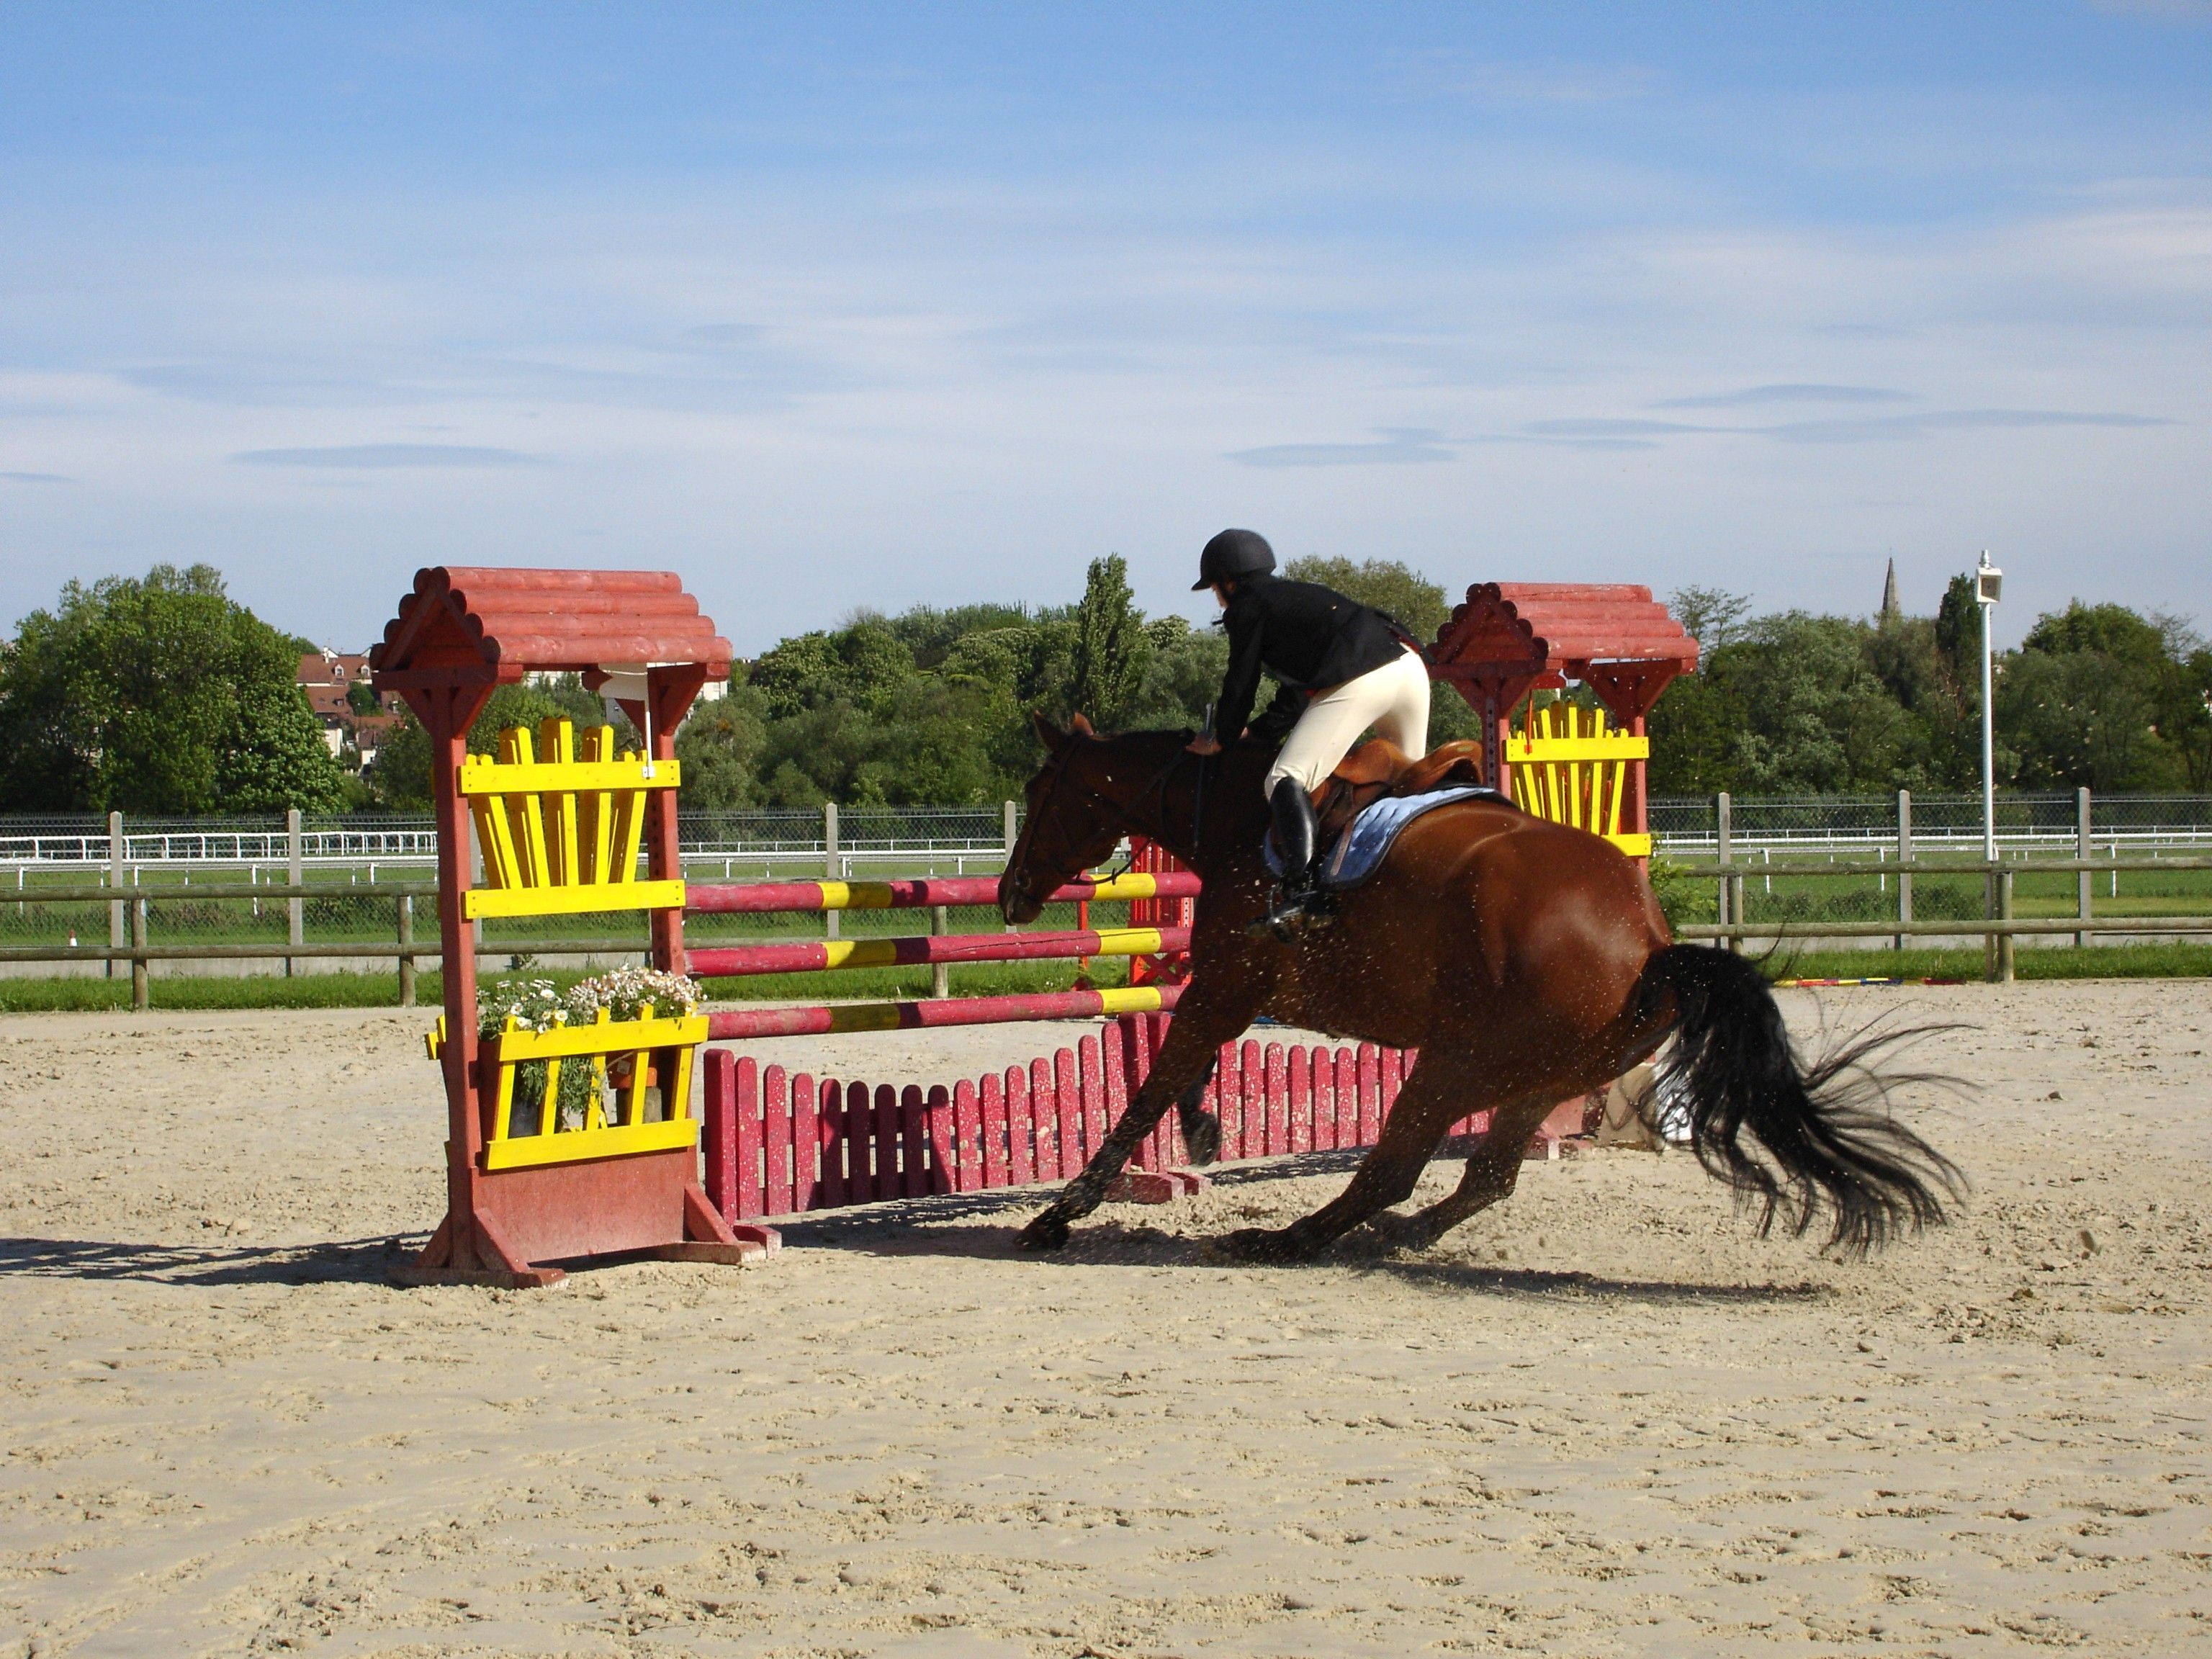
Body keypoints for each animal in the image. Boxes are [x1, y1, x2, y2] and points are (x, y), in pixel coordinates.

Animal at [998, 715, 1960, 1263]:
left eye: (1040, 790)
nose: (1009, 895)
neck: (1240, 811)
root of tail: (1651, 946)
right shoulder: (1227, 993)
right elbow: (1177, 1075)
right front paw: (1200, 1135)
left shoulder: (1227, 988)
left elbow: (1153, 1088)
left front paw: (1062, 1215)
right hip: (1537, 1079)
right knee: (1487, 1177)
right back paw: (1392, 1239)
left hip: (1453, 1063)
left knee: (1392, 1172)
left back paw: (1288, 1239)